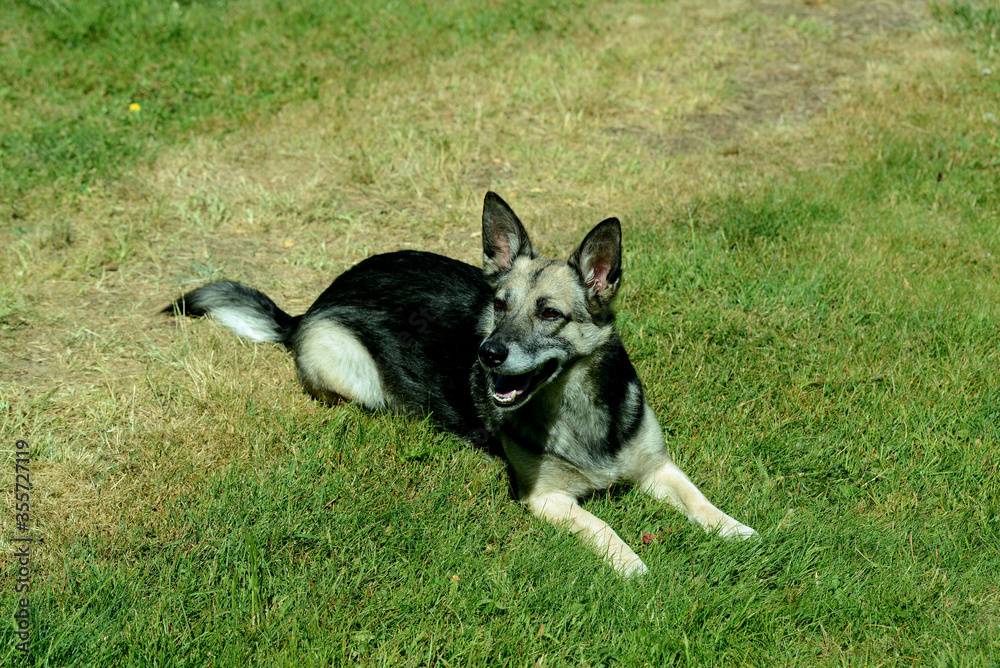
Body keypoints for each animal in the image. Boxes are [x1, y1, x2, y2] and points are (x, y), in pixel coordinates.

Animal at [166, 189, 756, 576]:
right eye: (499, 305)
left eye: (549, 314)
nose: (487, 353)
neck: (577, 408)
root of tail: (305, 311)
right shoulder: (547, 501)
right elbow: (602, 528)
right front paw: (632, 563)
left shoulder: (658, 468)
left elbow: (700, 501)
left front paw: (736, 530)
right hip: (347, 369)